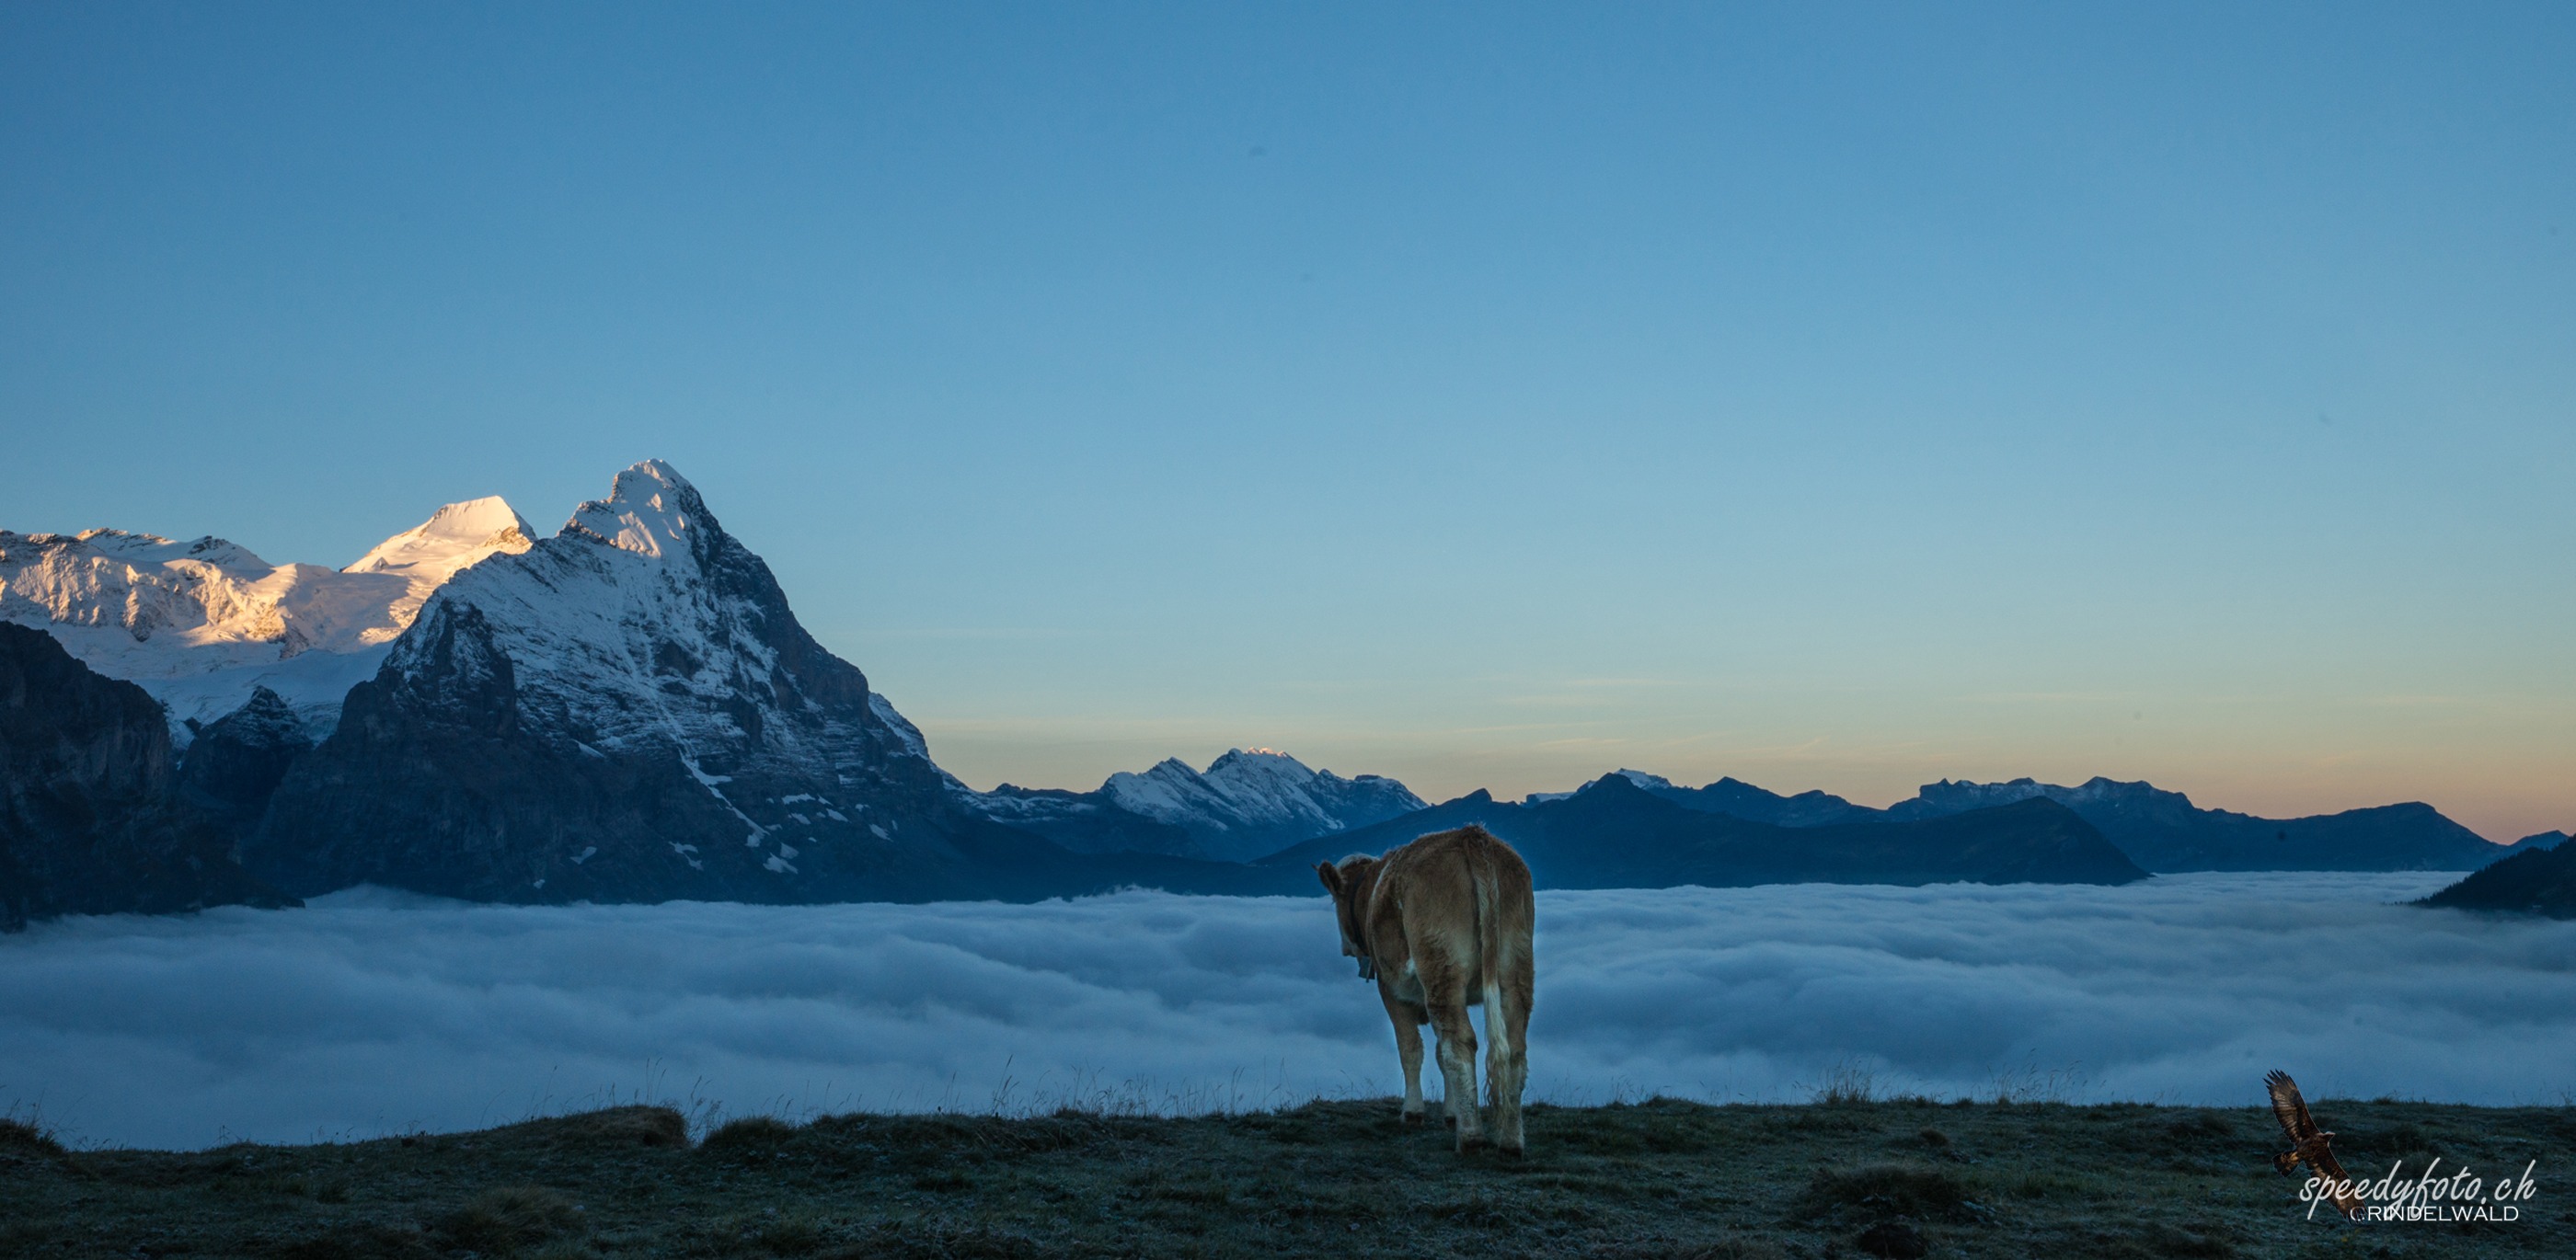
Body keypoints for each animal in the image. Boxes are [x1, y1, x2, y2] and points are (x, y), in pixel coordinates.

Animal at [1318, 819, 1535, 1154]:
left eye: (1334, 899)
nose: (1344, 947)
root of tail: (1472, 835)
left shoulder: (1390, 989)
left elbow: (1410, 1049)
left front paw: (1413, 1112)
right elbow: (1437, 1054)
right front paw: (1451, 1113)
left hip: (1441, 965)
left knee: (1460, 1042)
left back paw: (1471, 1138)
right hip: (1516, 966)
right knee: (1514, 1047)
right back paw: (1511, 1141)